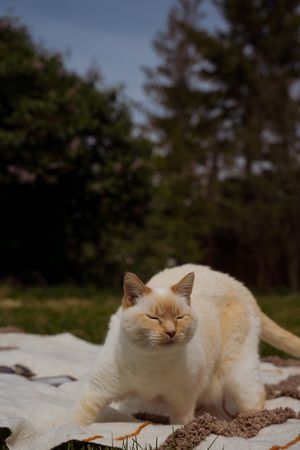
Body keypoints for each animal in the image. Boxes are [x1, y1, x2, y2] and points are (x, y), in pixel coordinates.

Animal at [72, 264, 300, 426]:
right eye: (153, 318)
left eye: (179, 317)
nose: (171, 332)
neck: (150, 364)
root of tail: (241, 286)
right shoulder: (98, 390)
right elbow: (77, 421)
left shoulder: (182, 401)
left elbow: (181, 425)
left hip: (237, 370)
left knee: (256, 397)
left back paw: (246, 421)